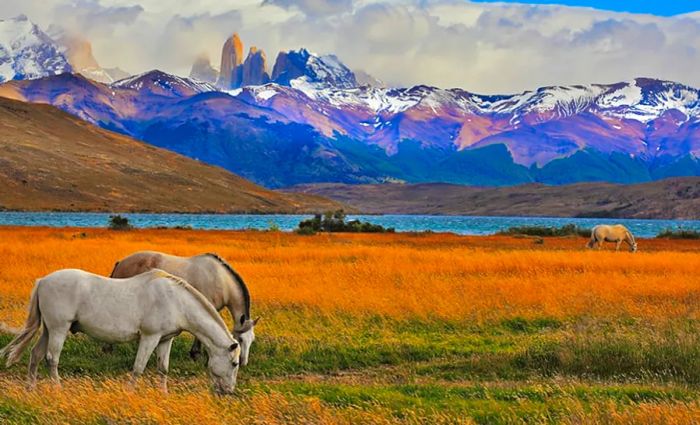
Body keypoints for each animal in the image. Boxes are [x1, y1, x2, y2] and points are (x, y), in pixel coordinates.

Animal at [0, 268, 241, 394]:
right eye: (235, 363)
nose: (228, 392)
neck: (176, 301)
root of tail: (43, 281)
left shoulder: (165, 340)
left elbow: (163, 369)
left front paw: (163, 395)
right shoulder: (149, 337)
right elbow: (138, 368)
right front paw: (130, 393)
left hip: (49, 330)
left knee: (35, 355)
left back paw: (31, 389)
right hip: (59, 329)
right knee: (52, 358)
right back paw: (58, 389)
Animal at [110, 250, 258, 366]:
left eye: (252, 340)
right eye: (240, 339)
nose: (243, 362)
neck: (221, 280)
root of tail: (121, 262)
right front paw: (197, 355)